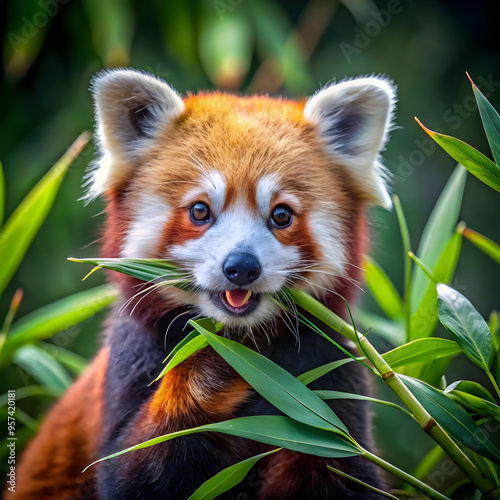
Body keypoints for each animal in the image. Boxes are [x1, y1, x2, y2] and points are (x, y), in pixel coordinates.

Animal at [8, 70, 394, 500]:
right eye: (199, 211)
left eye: (281, 215)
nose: (241, 268)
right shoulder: (131, 360)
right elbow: (130, 469)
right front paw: (209, 367)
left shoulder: (330, 376)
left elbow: (341, 468)